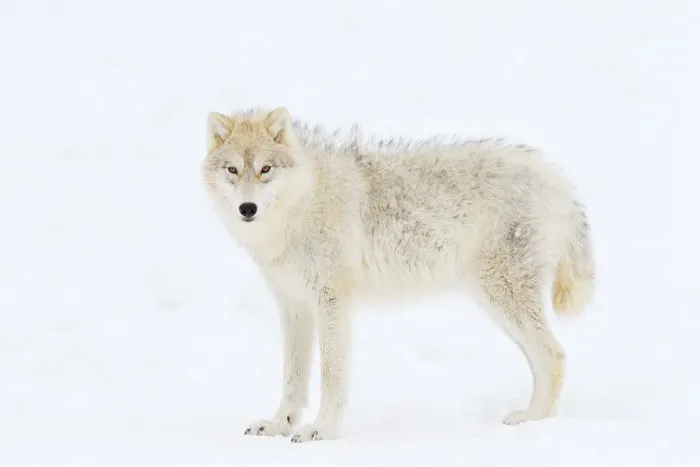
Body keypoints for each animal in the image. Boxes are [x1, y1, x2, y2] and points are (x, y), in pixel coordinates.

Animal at [200, 106, 595, 443]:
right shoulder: (293, 306)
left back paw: (532, 422)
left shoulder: (332, 302)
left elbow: (331, 375)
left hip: (502, 298)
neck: (299, 208)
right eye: (232, 170)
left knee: (554, 355)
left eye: (265, 169)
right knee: (543, 360)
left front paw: (322, 430)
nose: (247, 208)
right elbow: (291, 379)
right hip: (497, 307)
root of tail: (558, 179)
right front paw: (278, 426)